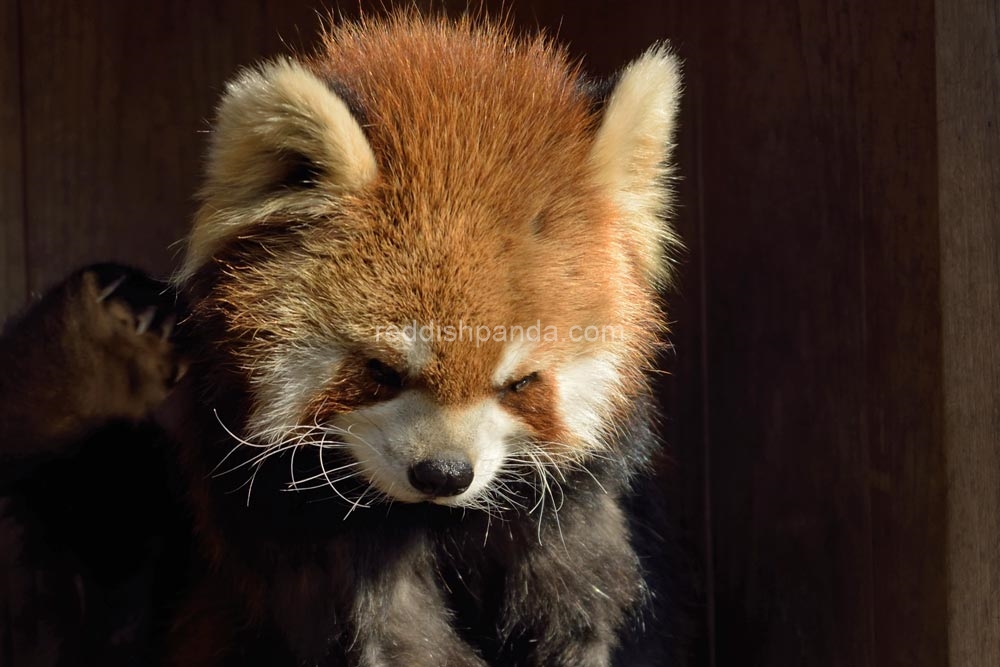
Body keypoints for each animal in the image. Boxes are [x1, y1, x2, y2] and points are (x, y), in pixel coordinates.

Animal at [162, 10, 688, 667]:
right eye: (381, 371)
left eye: (521, 383)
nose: (443, 474)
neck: (439, 522)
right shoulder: (300, 526)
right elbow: (391, 632)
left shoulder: (579, 510)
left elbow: (584, 606)